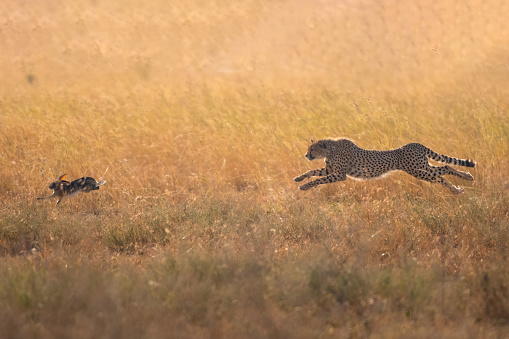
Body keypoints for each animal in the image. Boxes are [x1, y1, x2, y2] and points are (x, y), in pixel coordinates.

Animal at [294, 138, 476, 194]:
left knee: (442, 172)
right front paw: (299, 178)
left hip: (417, 170)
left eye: (312, 149)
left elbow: (319, 179)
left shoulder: (340, 174)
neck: (330, 149)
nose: (306, 155)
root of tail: (415, 144)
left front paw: (305, 187)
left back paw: (456, 190)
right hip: (422, 167)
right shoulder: (330, 170)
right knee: (445, 168)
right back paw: (465, 179)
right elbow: (313, 171)